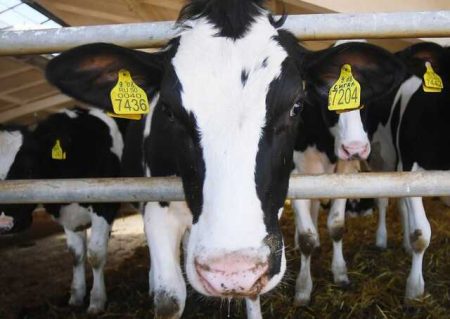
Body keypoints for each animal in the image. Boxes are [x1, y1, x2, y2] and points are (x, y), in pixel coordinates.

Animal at [0, 108, 124, 316]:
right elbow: (76, 254)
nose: (4, 225)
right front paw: (76, 296)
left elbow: (95, 254)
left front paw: (97, 301)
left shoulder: (105, 203)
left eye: (29, 171)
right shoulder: (68, 213)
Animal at [370, 42, 450, 302]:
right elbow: (421, 234)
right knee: (384, 201)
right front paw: (414, 288)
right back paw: (382, 238)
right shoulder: (412, 172)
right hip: (382, 159)